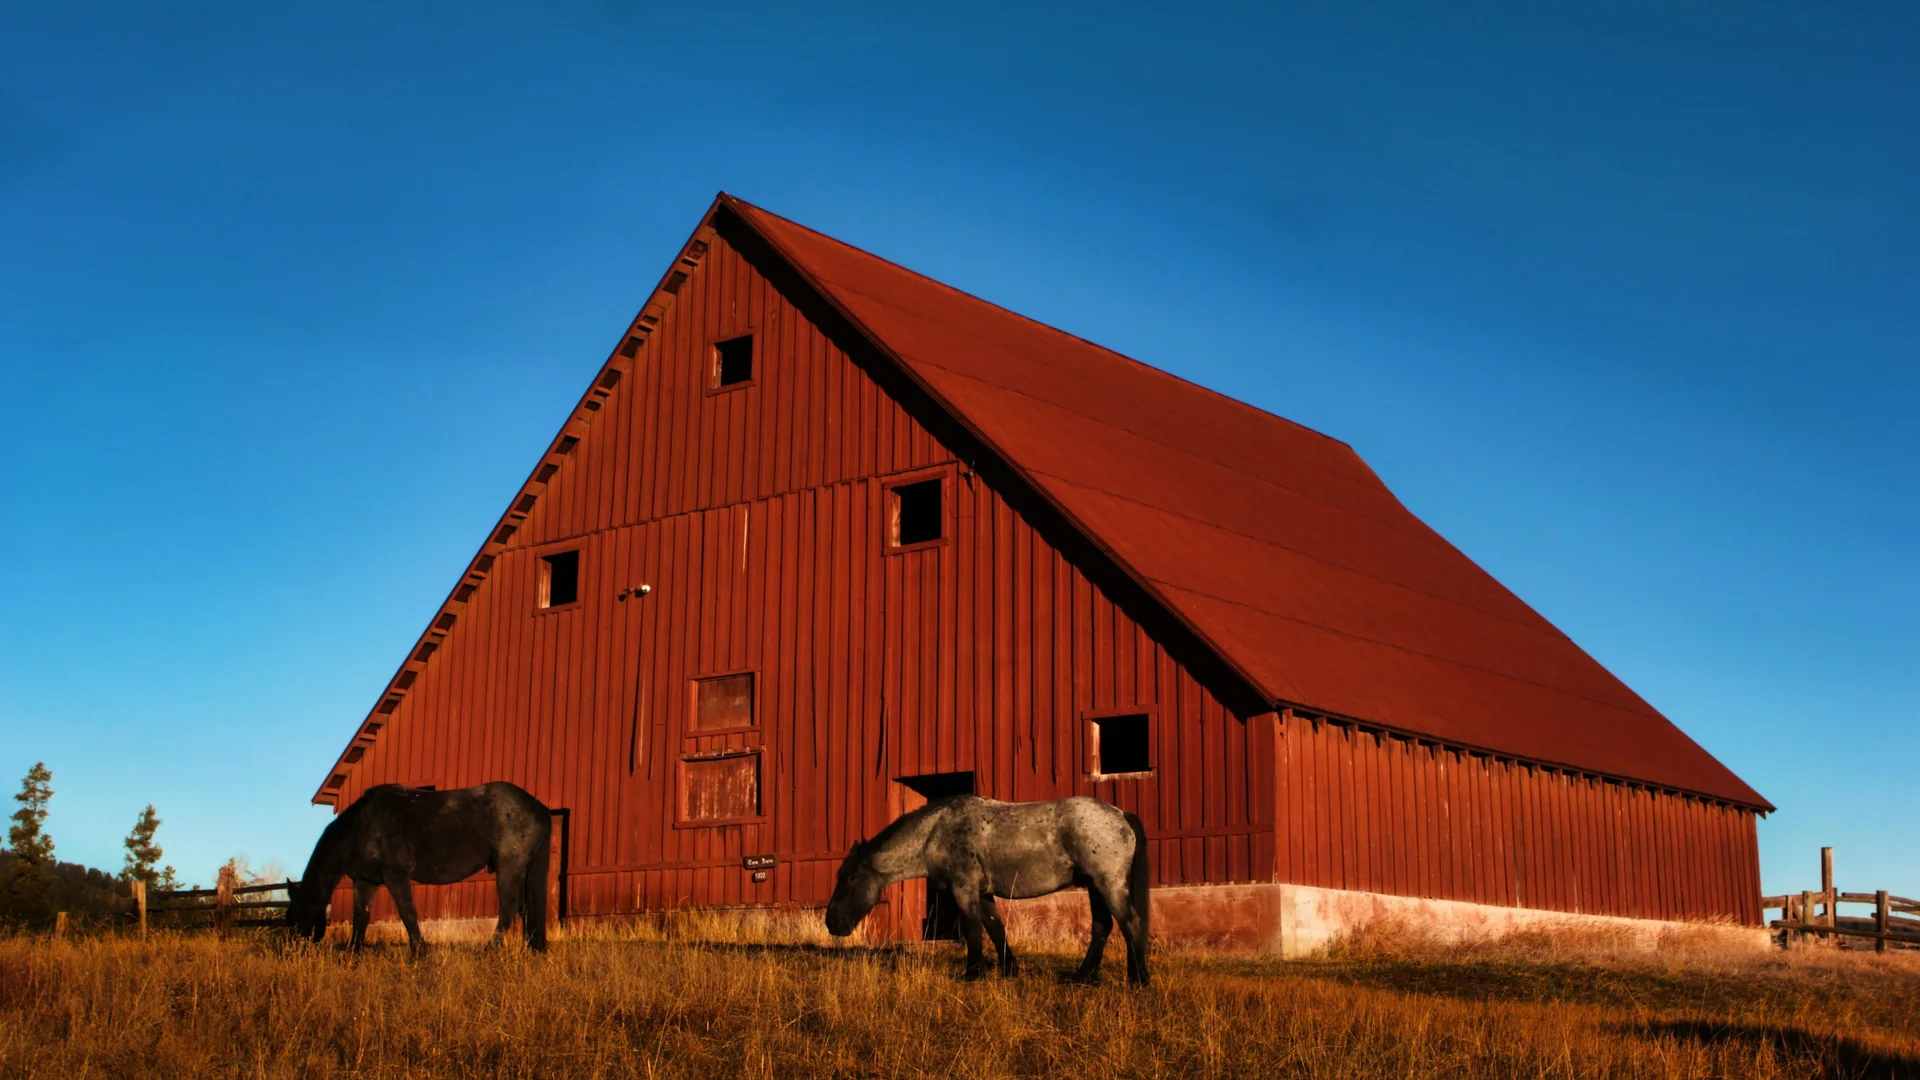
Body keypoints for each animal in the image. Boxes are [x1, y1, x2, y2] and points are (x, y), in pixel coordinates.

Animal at [286, 781, 552, 955]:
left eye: (300, 916)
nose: (292, 953)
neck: (362, 825)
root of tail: (538, 807)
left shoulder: (396, 876)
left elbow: (408, 913)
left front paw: (419, 953)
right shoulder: (365, 880)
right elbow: (361, 917)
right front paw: (353, 953)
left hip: (509, 867)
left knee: (509, 907)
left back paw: (490, 950)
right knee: (524, 908)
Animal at [825, 795, 1150, 985]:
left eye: (849, 878)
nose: (831, 922)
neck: (936, 832)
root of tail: (1121, 814)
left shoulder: (964, 889)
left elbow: (972, 930)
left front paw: (972, 973)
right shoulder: (982, 893)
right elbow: (996, 929)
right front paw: (1009, 970)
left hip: (1108, 884)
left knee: (1130, 923)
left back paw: (1138, 978)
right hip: (1095, 887)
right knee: (1102, 927)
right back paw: (1082, 977)